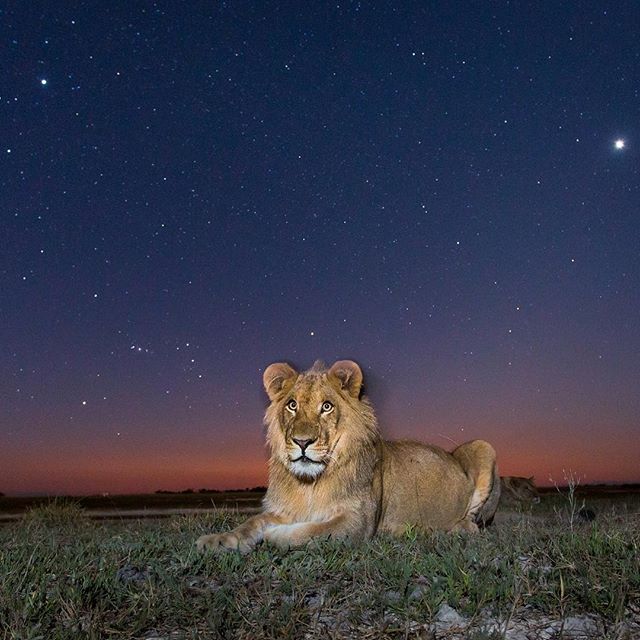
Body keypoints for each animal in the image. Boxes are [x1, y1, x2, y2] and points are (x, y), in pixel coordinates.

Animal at [197, 360, 500, 552]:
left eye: (327, 406)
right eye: (292, 405)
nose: (302, 442)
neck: (310, 484)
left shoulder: (357, 521)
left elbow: (311, 532)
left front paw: (274, 536)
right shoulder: (284, 509)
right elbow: (252, 522)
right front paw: (218, 540)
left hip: (484, 446)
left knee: (473, 525)